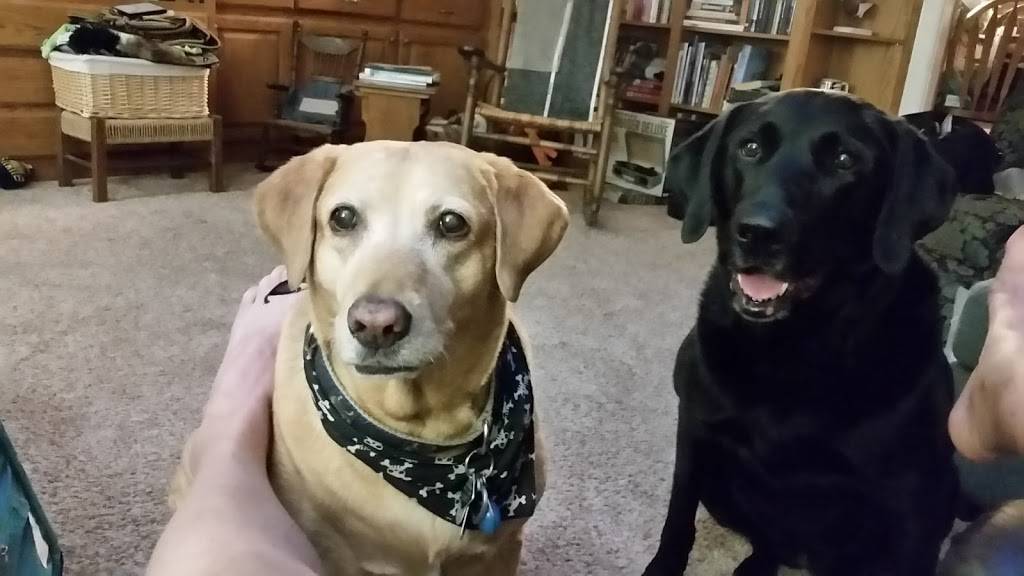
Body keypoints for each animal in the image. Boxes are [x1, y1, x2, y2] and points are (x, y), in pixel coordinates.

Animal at [173, 141, 569, 576]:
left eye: (452, 224)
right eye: (343, 218)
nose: (375, 324)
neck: (419, 433)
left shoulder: (500, 551)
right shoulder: (333, 550)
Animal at [644, 90, 960, 576]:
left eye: (845, 161)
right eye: (749, 148)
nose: (757, 233)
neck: (792, 347)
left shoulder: (913, 500)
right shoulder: (695, 430)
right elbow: (678, 518)